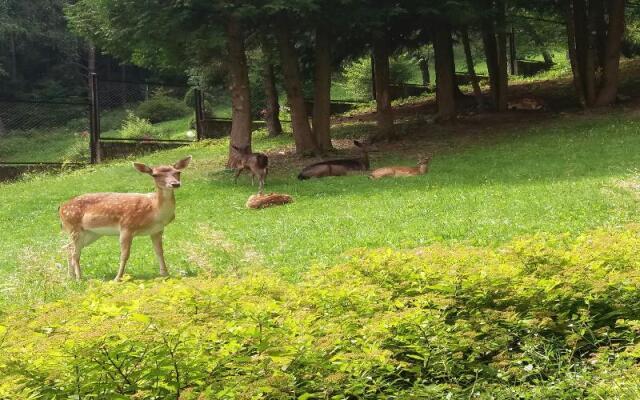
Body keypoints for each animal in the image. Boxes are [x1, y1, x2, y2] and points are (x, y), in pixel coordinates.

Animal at [58, 156, 191, 282]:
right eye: (155, 175)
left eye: (178, 172)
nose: (175, 184)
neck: (154, 211)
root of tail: (61, 208)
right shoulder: (126, 226)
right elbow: (124, 255)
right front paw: (118, 278)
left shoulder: (157, 230)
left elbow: (159, 251)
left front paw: (165, 274)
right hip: (73, 226)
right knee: (75, 253)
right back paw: (79, 278)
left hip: (91, 233)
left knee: (68, 248)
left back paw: (71, 277)